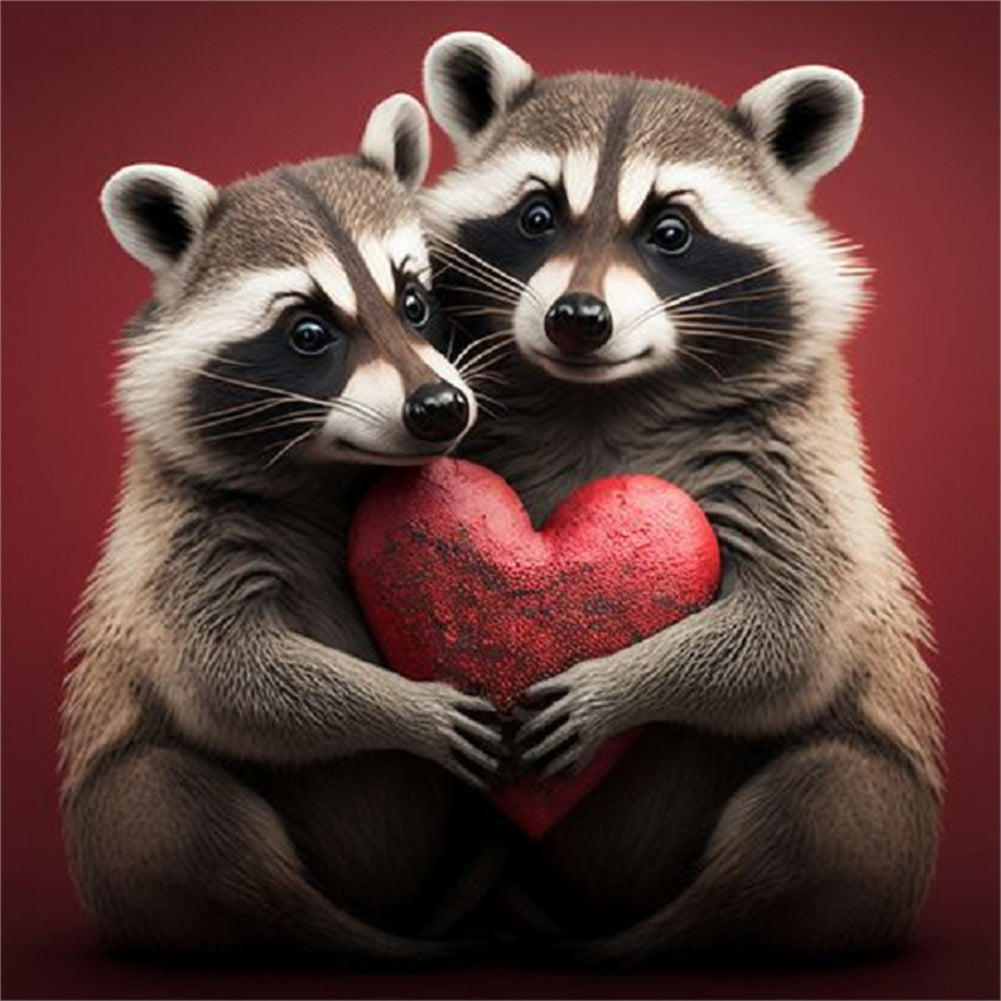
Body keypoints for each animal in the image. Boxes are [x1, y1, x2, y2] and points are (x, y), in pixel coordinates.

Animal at [60, 94, 508, 962]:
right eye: (308, 333)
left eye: (414, 302)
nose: (439, 407)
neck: (329, 472)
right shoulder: (177, 540)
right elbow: (228, 676)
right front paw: (407, 705)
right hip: (126, 827)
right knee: (181, 809)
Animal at [421, 33, 942, 964]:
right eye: (536, 216)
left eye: (670, 232)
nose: (577, 317)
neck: (595, 396)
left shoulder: (793, 450)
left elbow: (794, 627)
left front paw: (618, 685)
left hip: (870, 807)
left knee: (822, 798)